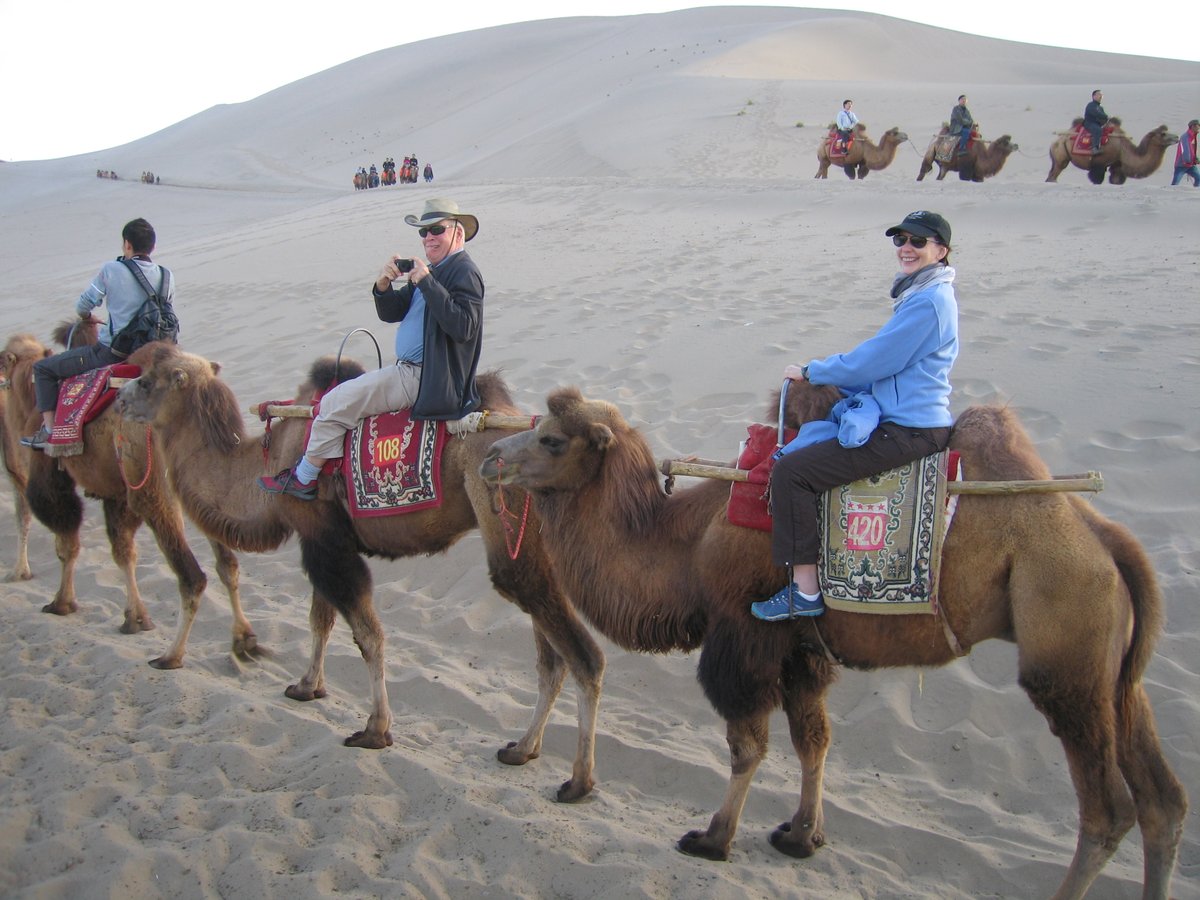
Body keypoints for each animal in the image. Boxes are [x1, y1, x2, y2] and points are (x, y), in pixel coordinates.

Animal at [6, 339, 252, 668]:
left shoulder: (53, 473)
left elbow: (67, 540)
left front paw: (62, 602)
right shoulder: (117, 492)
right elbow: (123, 551)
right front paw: (135, 619)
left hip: (153, 491)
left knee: (192, 576)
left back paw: (170, 656)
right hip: (200, 492)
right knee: (227, 564)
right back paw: (244, 639)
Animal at [116, 345, 605, 800]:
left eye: (148, 381)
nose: (118, 398)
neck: (265, 467)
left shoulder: (322, 538)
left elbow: (367, 635)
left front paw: (375, 729)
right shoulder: (324, 536)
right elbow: (321, 619)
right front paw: (306, 687)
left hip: (504, 519)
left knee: (580, 654)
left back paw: (578, 781)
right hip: (537, 548)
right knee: (551, 658)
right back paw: (523, 748)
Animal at [479, 386, 1187, 899]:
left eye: (551, 438)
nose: (489, 459)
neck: (686, 544)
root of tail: (1107, 539)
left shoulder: (744, 636)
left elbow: (747, 746)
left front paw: (714, 838)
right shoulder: (801, 648)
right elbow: (813, 740)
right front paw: (801, 835)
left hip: (1066, 653)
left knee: (1107, 812)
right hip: (1114, 673)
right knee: (1162, 802)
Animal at [1046, 119, 1177, 184]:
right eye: (1163, 134)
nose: (1176, 137)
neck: (1123, 149)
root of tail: (1055, 142)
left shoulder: (1117, 165)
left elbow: (1116, 180)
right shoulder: (1099, 164)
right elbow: (1097, 179)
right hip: (1061, 155)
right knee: (1054, 174)